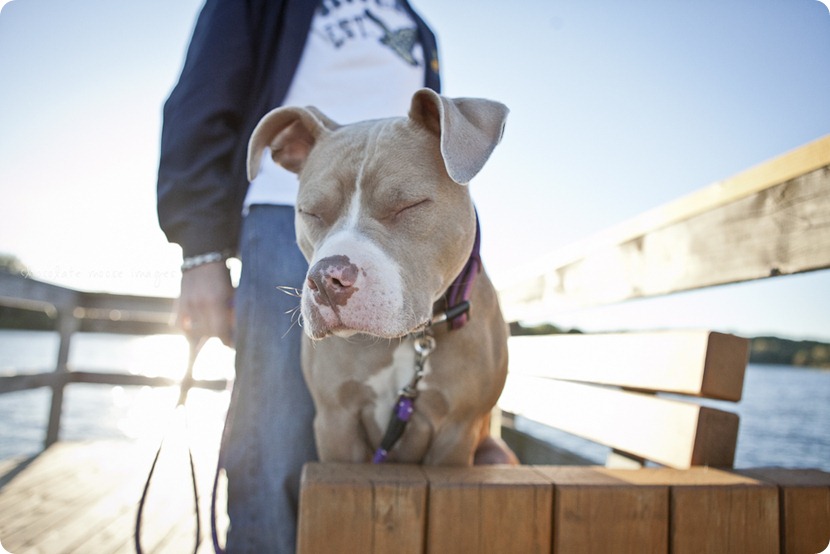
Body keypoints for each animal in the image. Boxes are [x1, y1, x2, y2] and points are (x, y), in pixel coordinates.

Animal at [247, 90, 516, 466]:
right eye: (310, 212)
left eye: (409, 205)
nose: (327, 280)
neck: (411, 339)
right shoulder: (336, 422)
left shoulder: (457, 432)